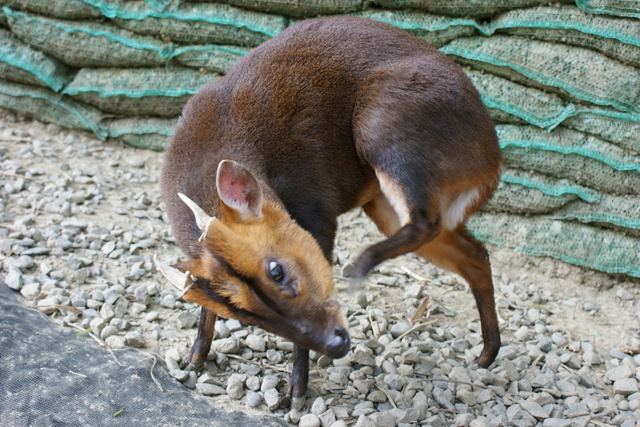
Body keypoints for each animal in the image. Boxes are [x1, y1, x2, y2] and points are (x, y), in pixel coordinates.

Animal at [158, 15, 502, 402]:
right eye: (247, 314)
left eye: (277, 271)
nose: (335, 344)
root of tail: (492, 160)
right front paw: (194, 358)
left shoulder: (317, 212)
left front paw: (297, 389)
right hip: (384, 204)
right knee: (474, 253)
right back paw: (487, 353)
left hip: (384, 127)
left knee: (428, 223)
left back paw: (362, 265)